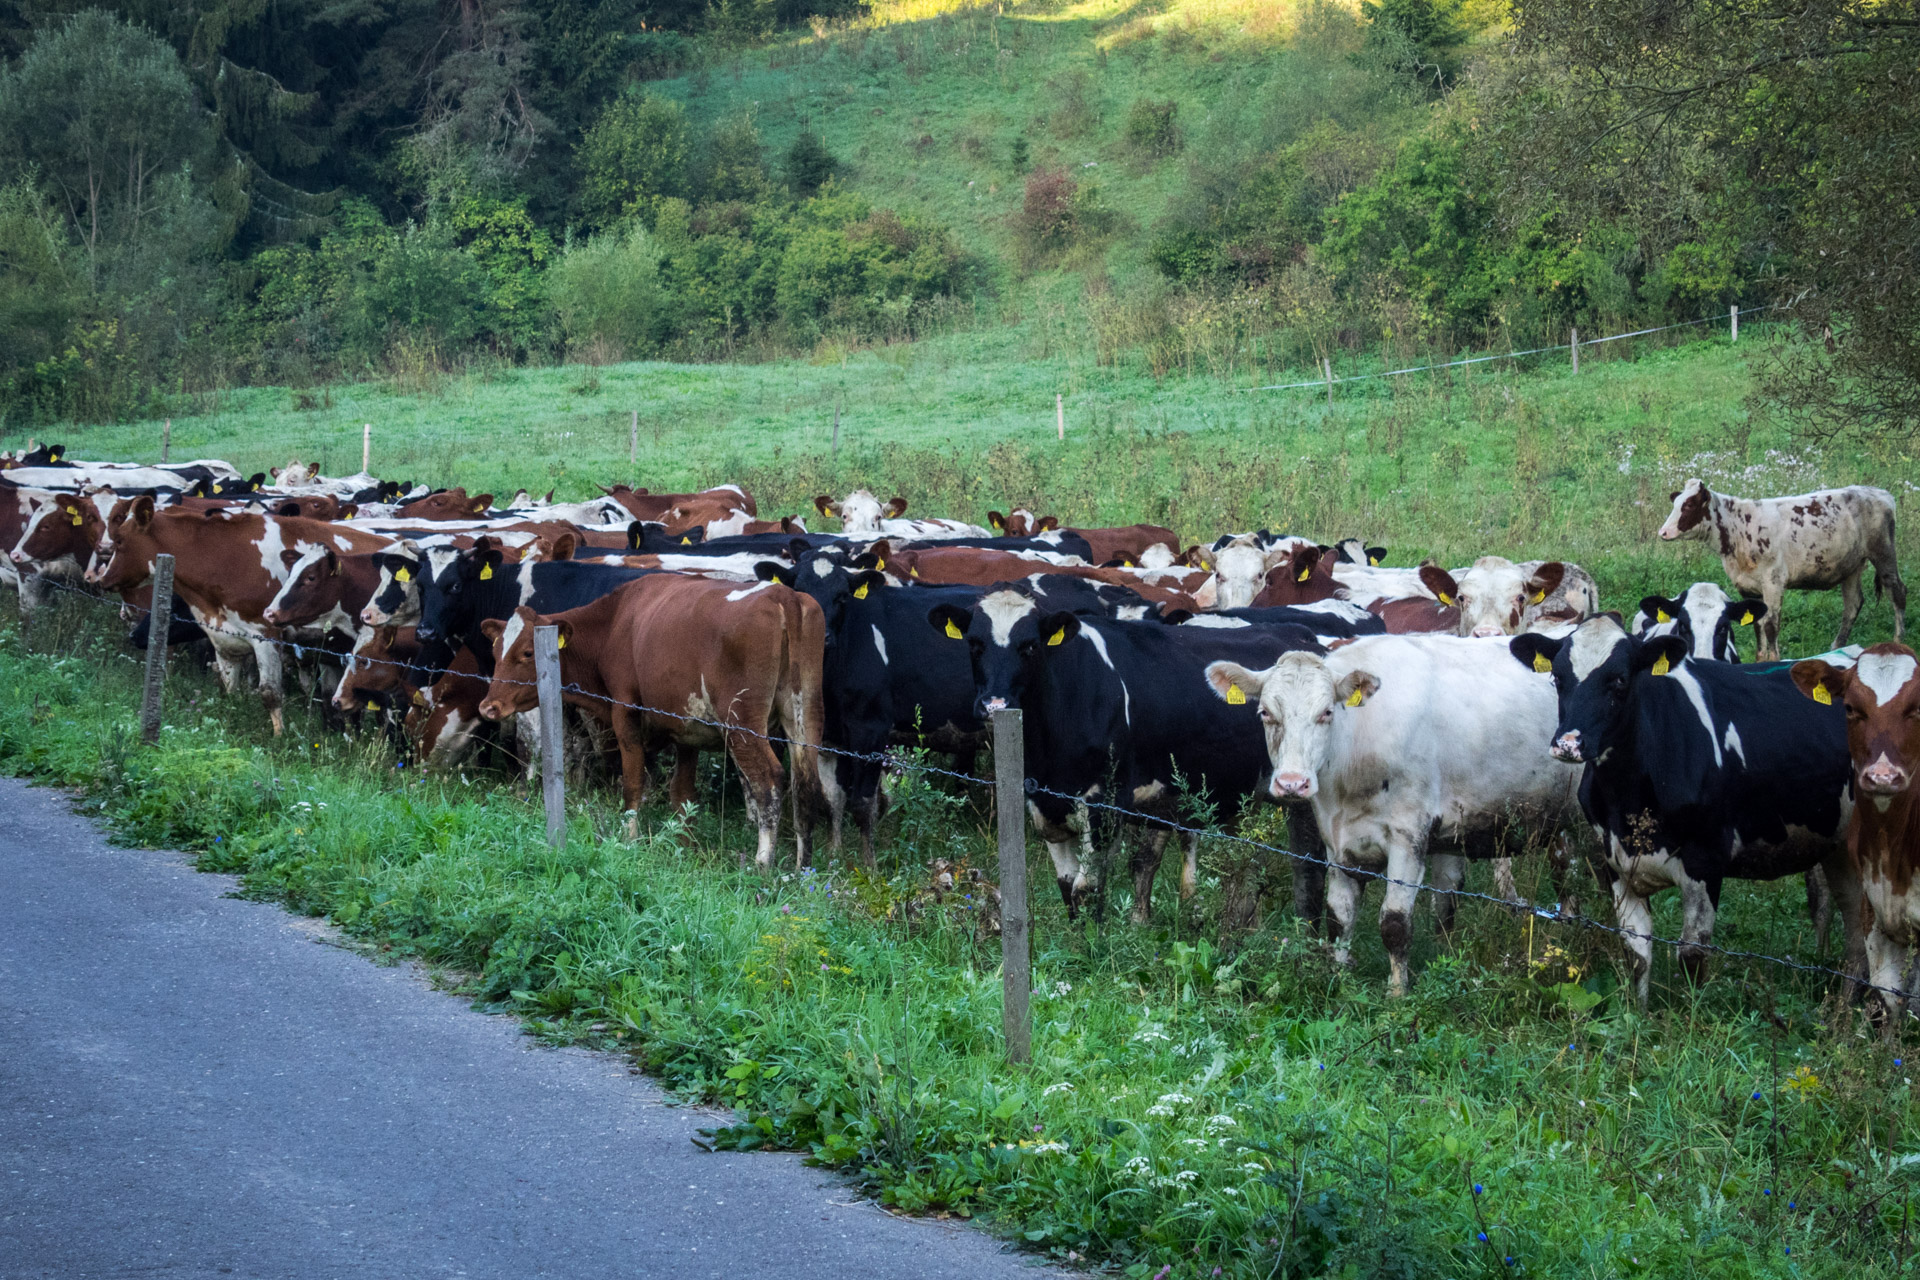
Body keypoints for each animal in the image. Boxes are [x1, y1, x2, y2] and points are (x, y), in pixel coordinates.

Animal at [478, 579, 825, 871]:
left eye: (527, 653)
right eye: (495, 651)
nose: (489, 706)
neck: (615, 622)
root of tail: (782, 594)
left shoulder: (625, 714)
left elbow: (633, 784)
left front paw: (630, 840)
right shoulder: (687, 730)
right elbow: (682, 794)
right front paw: (684, 846)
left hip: (742, 724)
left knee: (769, 781)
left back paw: (762, 864)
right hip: (806, 718)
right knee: (806, 785)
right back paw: (802, 869)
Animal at [1505, 614, 1866, 1005]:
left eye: (1620, 679)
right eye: (1557, 678)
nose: (1568, 743)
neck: (1630, 797)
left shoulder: (1705, 861)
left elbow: (1692, 954)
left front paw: (1689, 1013)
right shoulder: (1615, 861)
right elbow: (1636, 952)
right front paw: (1639, 1012)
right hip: (1837, 849)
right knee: (1854, 927)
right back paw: (1844, 1007)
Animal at [1651, 477, 1904, 660]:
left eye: (1689, 504)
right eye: (1676, 503)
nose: (1663, 532)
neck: (1738, 527)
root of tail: (1880, 493)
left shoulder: (1773, 581)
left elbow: (1771, 625)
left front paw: (1773, 658)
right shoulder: (1747, 586)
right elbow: (1756, 624)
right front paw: (1760, 658)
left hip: (1884, 552)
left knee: (1897, 592)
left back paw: (1899, 641)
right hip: (1851, 566)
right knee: (1852, 605)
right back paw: (1836, 647)